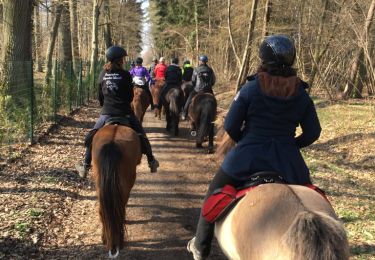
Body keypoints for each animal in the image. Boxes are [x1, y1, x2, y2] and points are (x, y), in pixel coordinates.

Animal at [92, 124, 142, 258]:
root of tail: (112, 143)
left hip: (99, 184)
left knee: (102, 211)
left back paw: (106, 239)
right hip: (126, 183)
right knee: (120, 210)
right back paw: (118, 241)